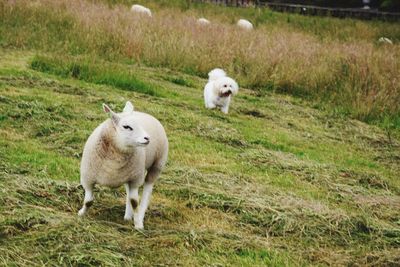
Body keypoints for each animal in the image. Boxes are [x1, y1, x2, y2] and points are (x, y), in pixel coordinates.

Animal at [79, 101, 168, 231]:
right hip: (127, 174)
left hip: (157, 165)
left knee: (147, 190)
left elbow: (135, 202)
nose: (147, 138)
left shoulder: (136, 179)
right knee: (128, 191)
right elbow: (88, 201)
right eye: (126, 127)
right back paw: (127, 216)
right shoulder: (88, 178)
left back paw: (139, 216)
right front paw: (81, 213)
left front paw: (138, 224)